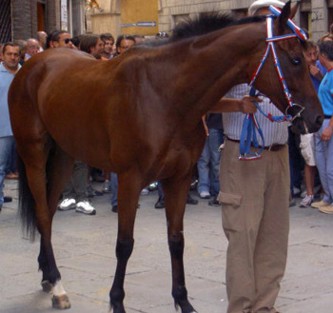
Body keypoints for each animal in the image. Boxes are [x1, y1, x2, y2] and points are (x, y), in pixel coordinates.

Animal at [8, 2, 322, 312]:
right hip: (34, 155)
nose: (318, 119)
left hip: (62, 157)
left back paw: (48, 276)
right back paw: (58, 285)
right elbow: (124, 244)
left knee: (48, 213)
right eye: (296, 60)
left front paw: (183, 301)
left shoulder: (179, 177)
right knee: (42, 214)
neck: (164, 92)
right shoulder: (130, 179)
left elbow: (176, 240)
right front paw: (117, 301)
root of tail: (32, 65)